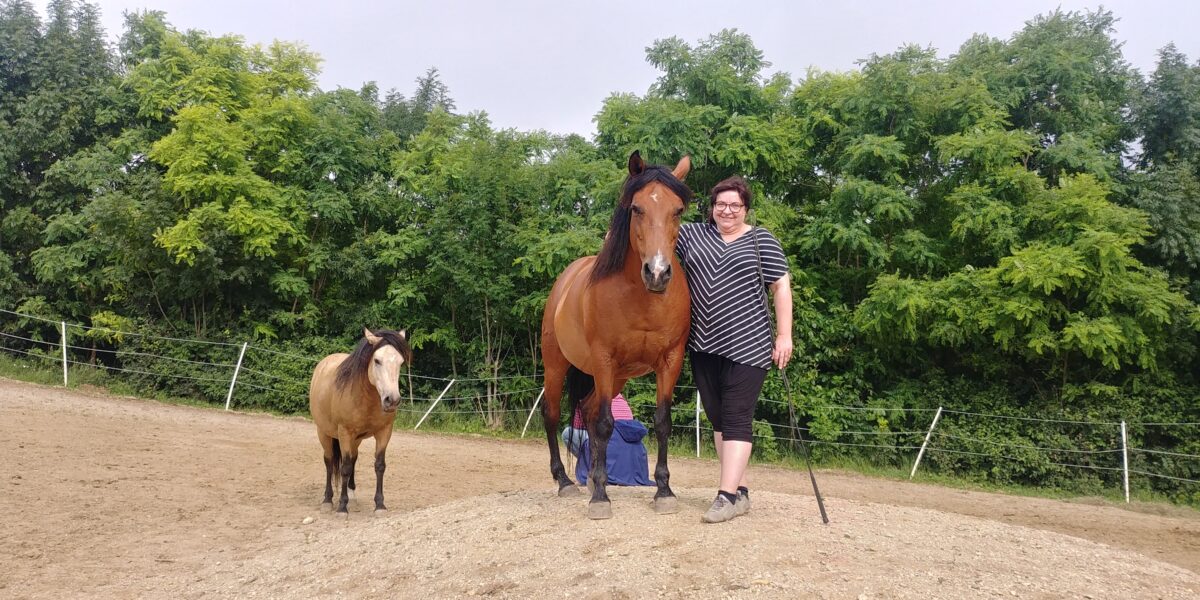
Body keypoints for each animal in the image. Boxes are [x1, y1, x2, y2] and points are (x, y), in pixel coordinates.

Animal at [309, 328, 412, 516]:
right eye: (377, 360)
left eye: (400, 362)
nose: (392, 400)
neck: (366, 397)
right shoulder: (344, 433)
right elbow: (345, 468)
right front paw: (342, 507)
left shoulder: (384, 432)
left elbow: (379, 465)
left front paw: (380, 505)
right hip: (324, 432)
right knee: (329, 462)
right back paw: (327, 500)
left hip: (355, 440)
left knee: (353, 459)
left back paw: (352, 497)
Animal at [540, 151, 691, 520]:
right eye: (636, 208)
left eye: (678, 210)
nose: (657, 272)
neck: (642, 297)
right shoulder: (604, 359)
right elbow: (607, 424)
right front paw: (600, 500)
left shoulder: (671, 360)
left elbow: (662, 422)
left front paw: (663, 491)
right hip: (556, 365)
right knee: (553, 414)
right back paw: (566, 482)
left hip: (618, 375)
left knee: (590, 411)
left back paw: (596, 478)